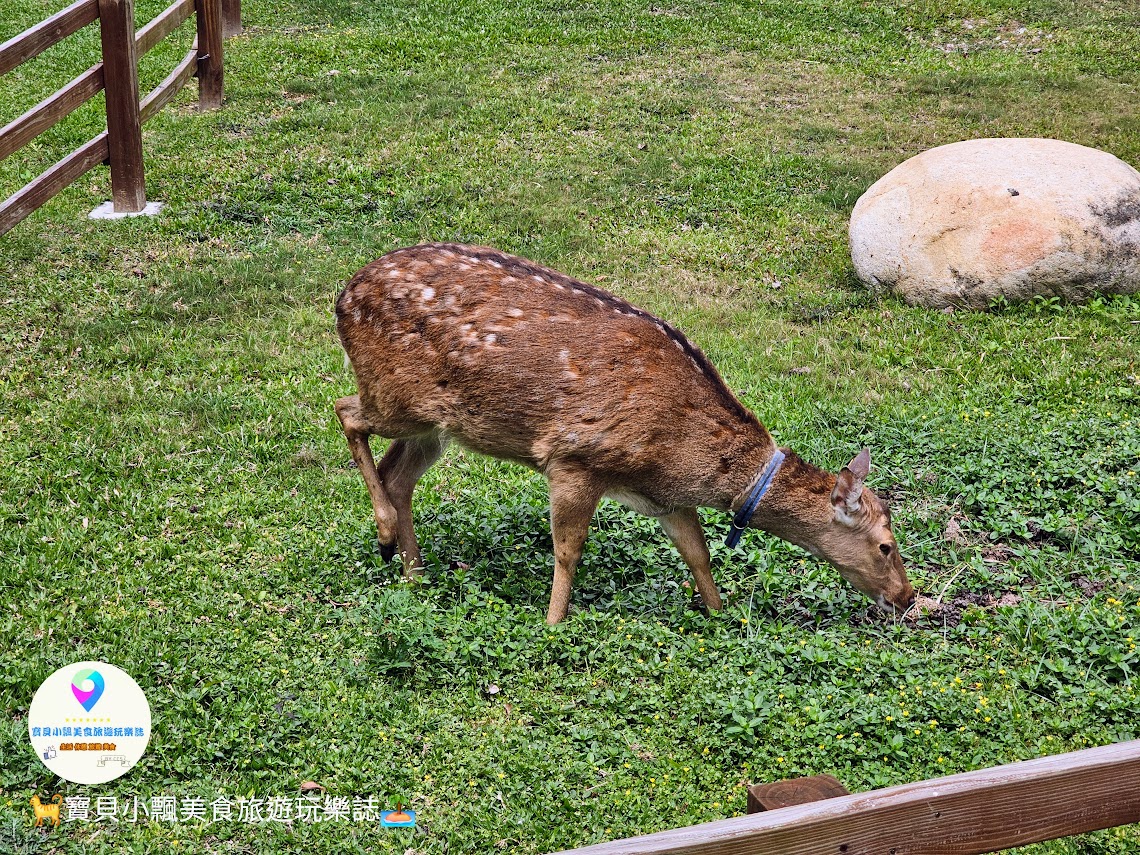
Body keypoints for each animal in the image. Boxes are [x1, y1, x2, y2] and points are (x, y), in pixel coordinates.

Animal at [334, 243, 916, 624]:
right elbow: (568, 551)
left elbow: (698, 553)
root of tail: (343, 297)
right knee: (345, 411)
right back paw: (385, 536)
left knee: (397, 473)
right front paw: (553, 624)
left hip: (437, 425)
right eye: (886, 546)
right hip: (396, 395)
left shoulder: (664, 496)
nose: (908, 598)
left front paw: (720, 616)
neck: (685, 457)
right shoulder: (573, 460)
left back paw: (413, 572)